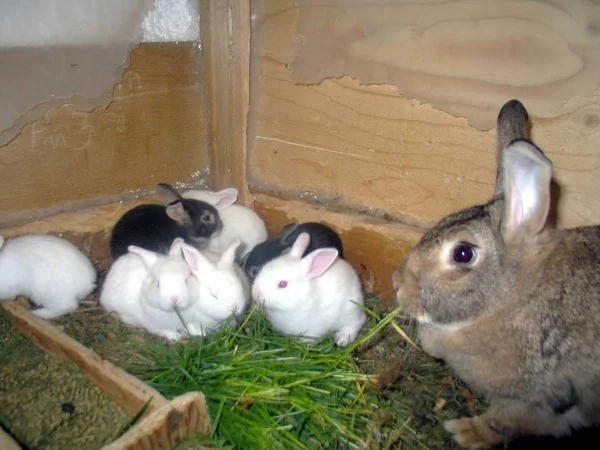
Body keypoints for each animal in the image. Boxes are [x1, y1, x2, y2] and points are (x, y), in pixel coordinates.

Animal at [394, 100, 600, 448]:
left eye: (463, 253)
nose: (398, 284)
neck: (512, 300)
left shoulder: (531, 401)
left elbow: (502, 422)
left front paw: (464, 432)